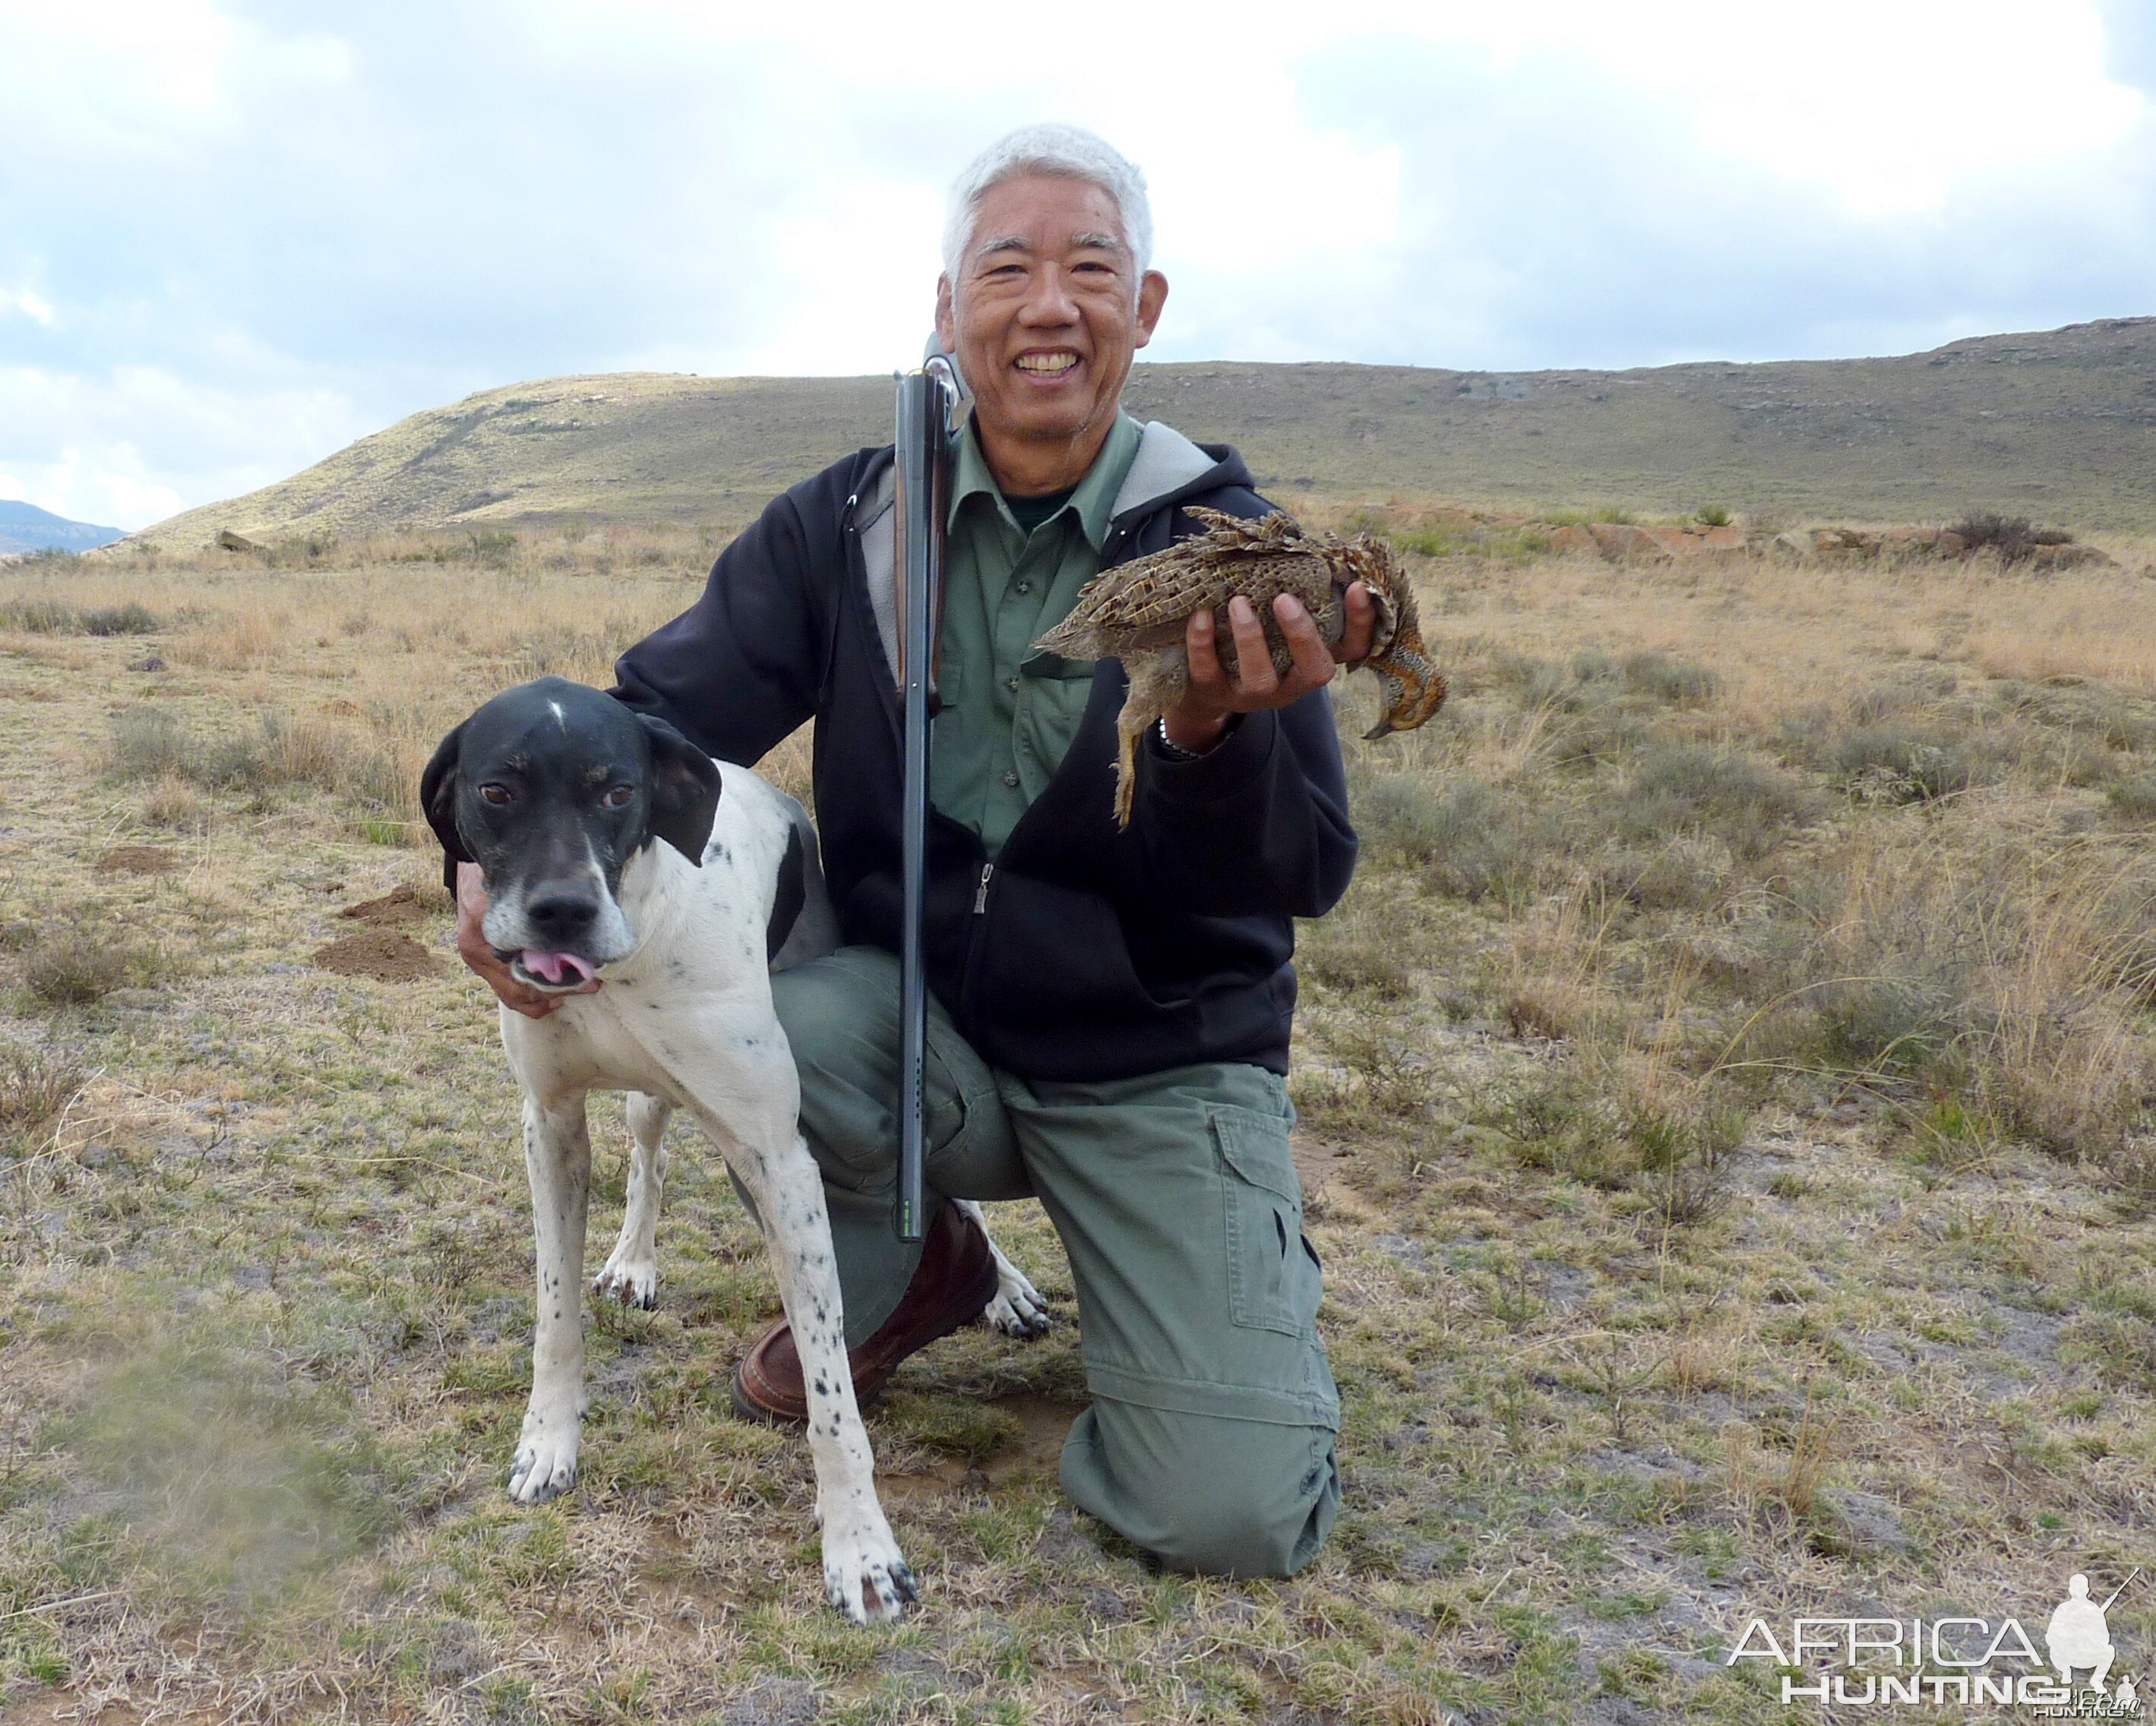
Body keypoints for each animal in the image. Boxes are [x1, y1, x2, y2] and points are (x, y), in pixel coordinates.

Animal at [418, 681, 1043, 1620]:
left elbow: (831, 1391)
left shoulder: (780, 1159)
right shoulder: (550, 1124)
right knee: (650, 1159)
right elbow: (554, 1318)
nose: (563, 911)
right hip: (645, 1100)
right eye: (496, 790)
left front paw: (861, 1548)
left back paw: (1000, 1285)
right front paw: (549, 1442)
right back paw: (634, 1261)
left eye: (618, 791)